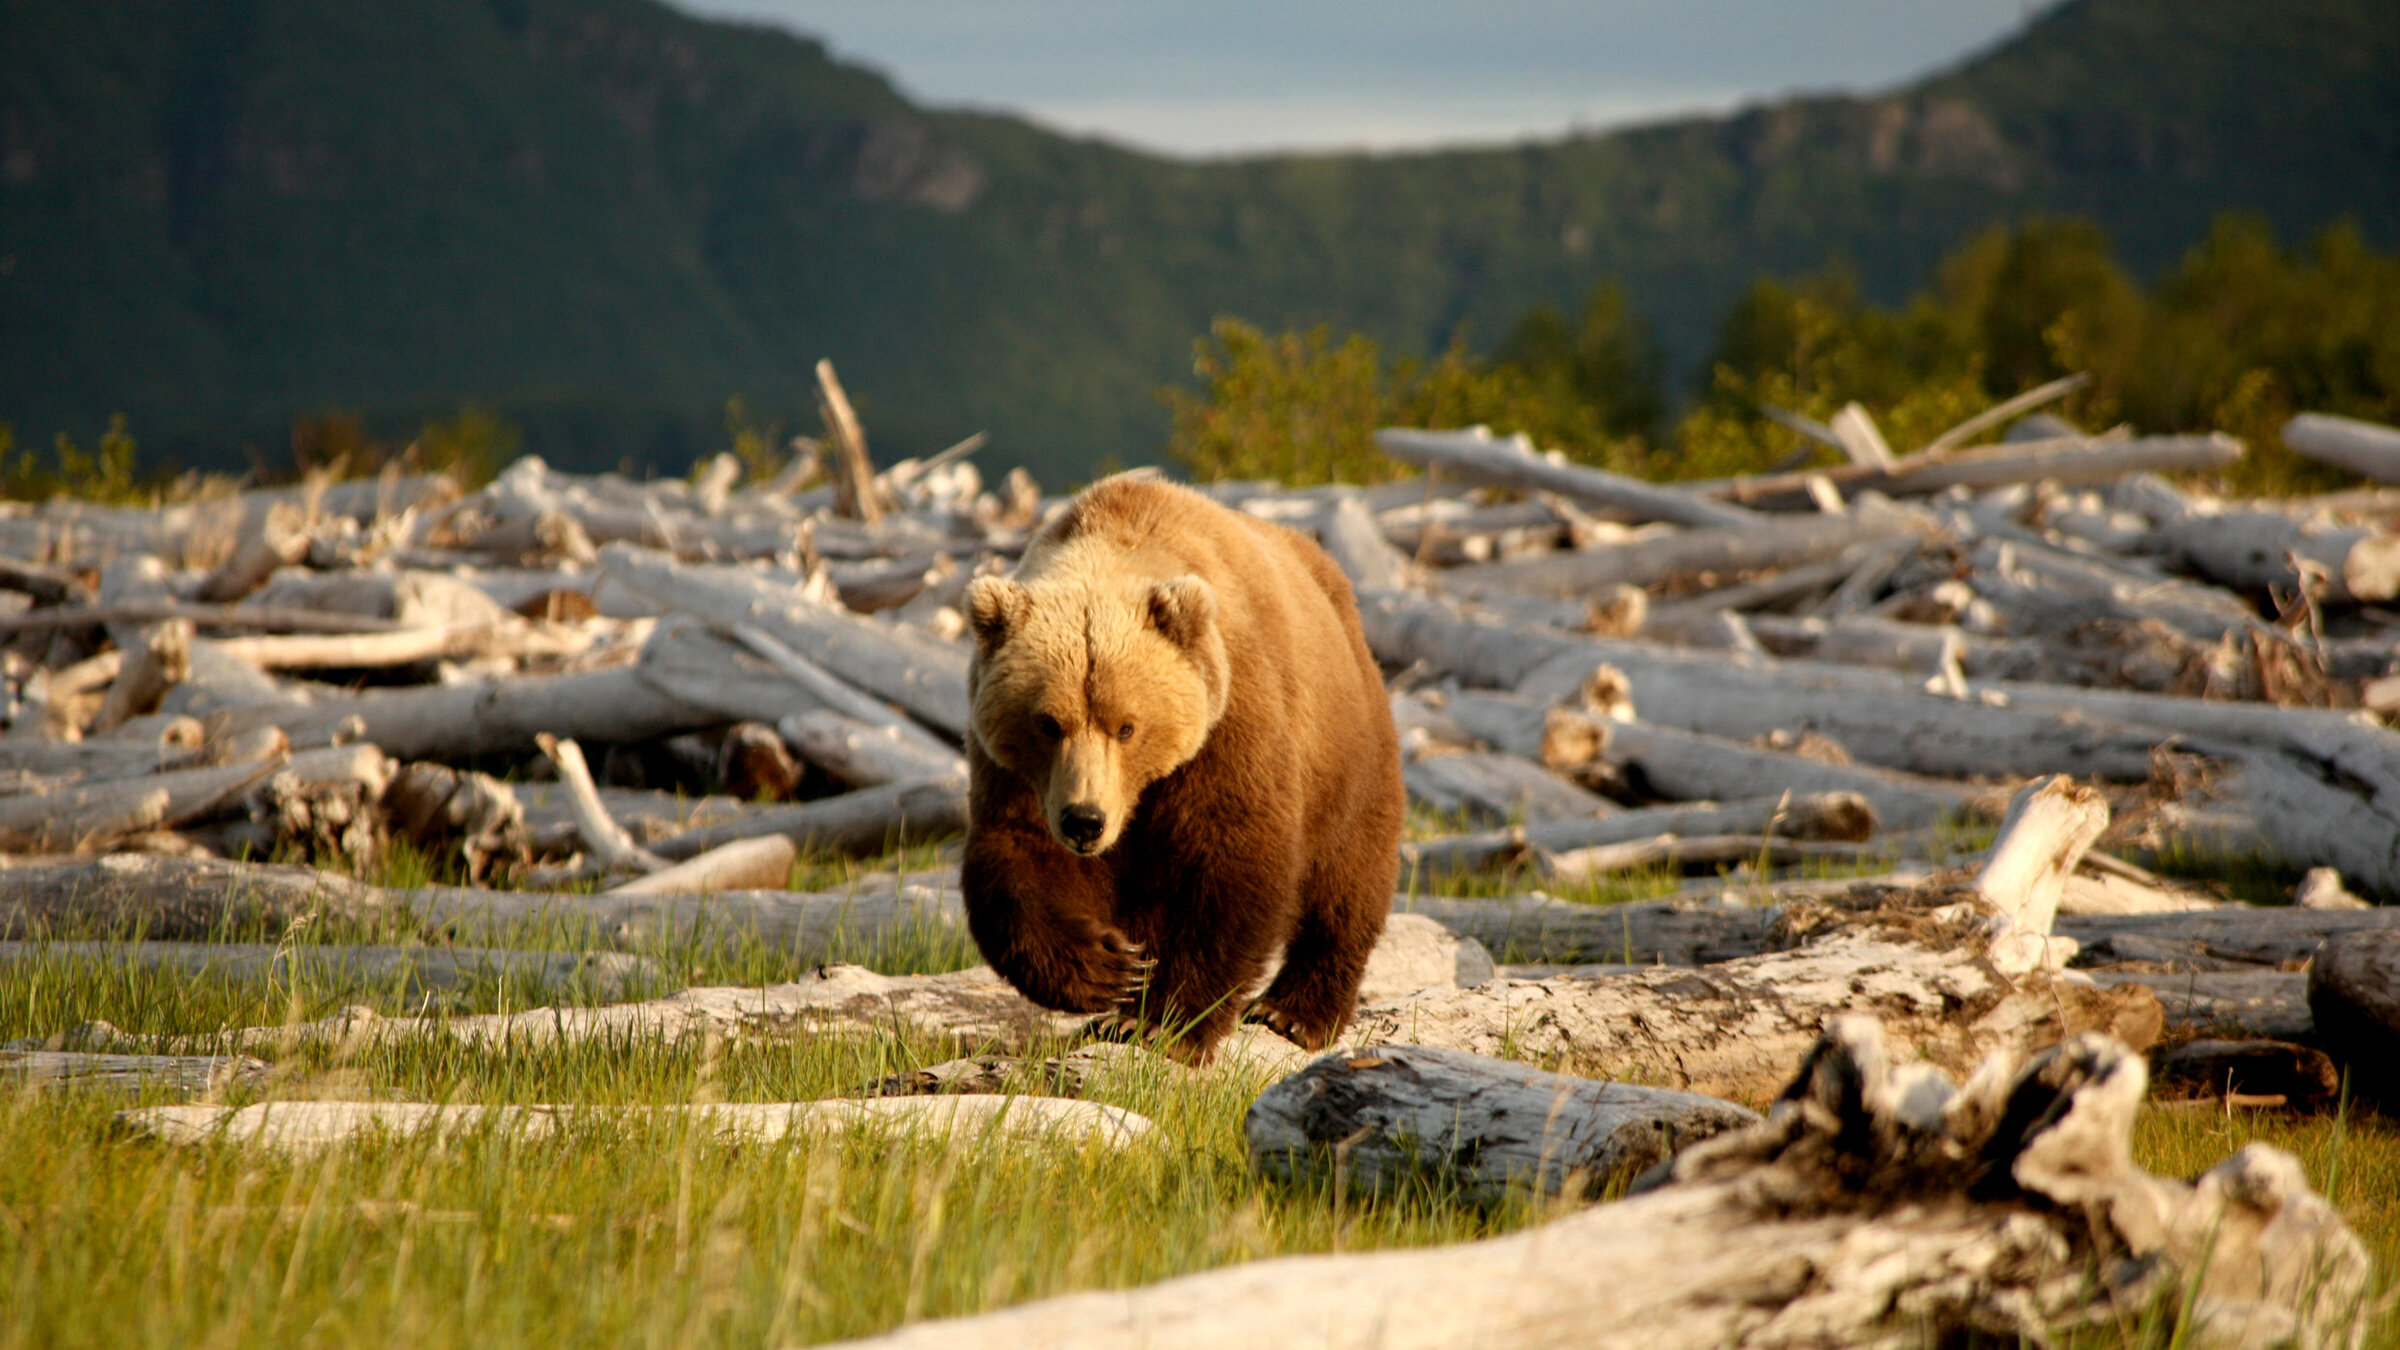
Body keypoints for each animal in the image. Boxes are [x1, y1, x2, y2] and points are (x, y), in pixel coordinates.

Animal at [960, 473, 1403, 1061]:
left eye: (1127, 726)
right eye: (1048, 723)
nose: (1085, 822)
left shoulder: (1229, 727)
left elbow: (1230, 864)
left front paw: (1163, 1022)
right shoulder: (1022, 775)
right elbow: (1018, 858)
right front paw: (1110, 969)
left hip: (1348, 747)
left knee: (1348, 880)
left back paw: (1294, 1012)